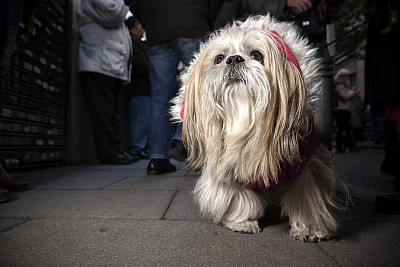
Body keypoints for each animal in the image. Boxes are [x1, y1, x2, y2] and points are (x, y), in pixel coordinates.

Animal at [170, 15, 340, 244]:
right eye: (219, 58)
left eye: (257, 55)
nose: (233, 59)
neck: (245, 115)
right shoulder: (230, 165)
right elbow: (241, 197)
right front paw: (242, 222)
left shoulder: (306, 161)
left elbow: (306, 197)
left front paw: (309, 229)